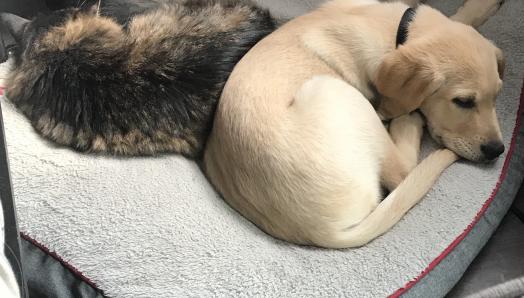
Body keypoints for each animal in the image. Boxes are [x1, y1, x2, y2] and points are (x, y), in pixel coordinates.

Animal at [204, 0, 504, 247]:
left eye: (497, 96)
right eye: (463, 101)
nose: (497, 150)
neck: (394, 31)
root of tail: (325, 232)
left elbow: (461, 19)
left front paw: (481, 7)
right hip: (338, 92)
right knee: (403, 171)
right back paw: (407, 122)